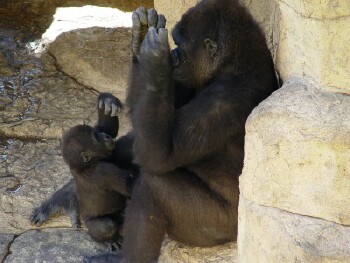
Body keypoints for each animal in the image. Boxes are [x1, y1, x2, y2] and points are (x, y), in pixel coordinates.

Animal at [31, 0, 278, 262]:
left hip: (218, 228)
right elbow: (148, 122)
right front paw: (140, 41)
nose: (173, 56)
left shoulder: (223, 100)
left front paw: (155, 57)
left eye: (180, 46)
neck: (233, 63)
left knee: (154, 185)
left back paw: (126, 257)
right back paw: (71, 195)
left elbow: (159, 155)